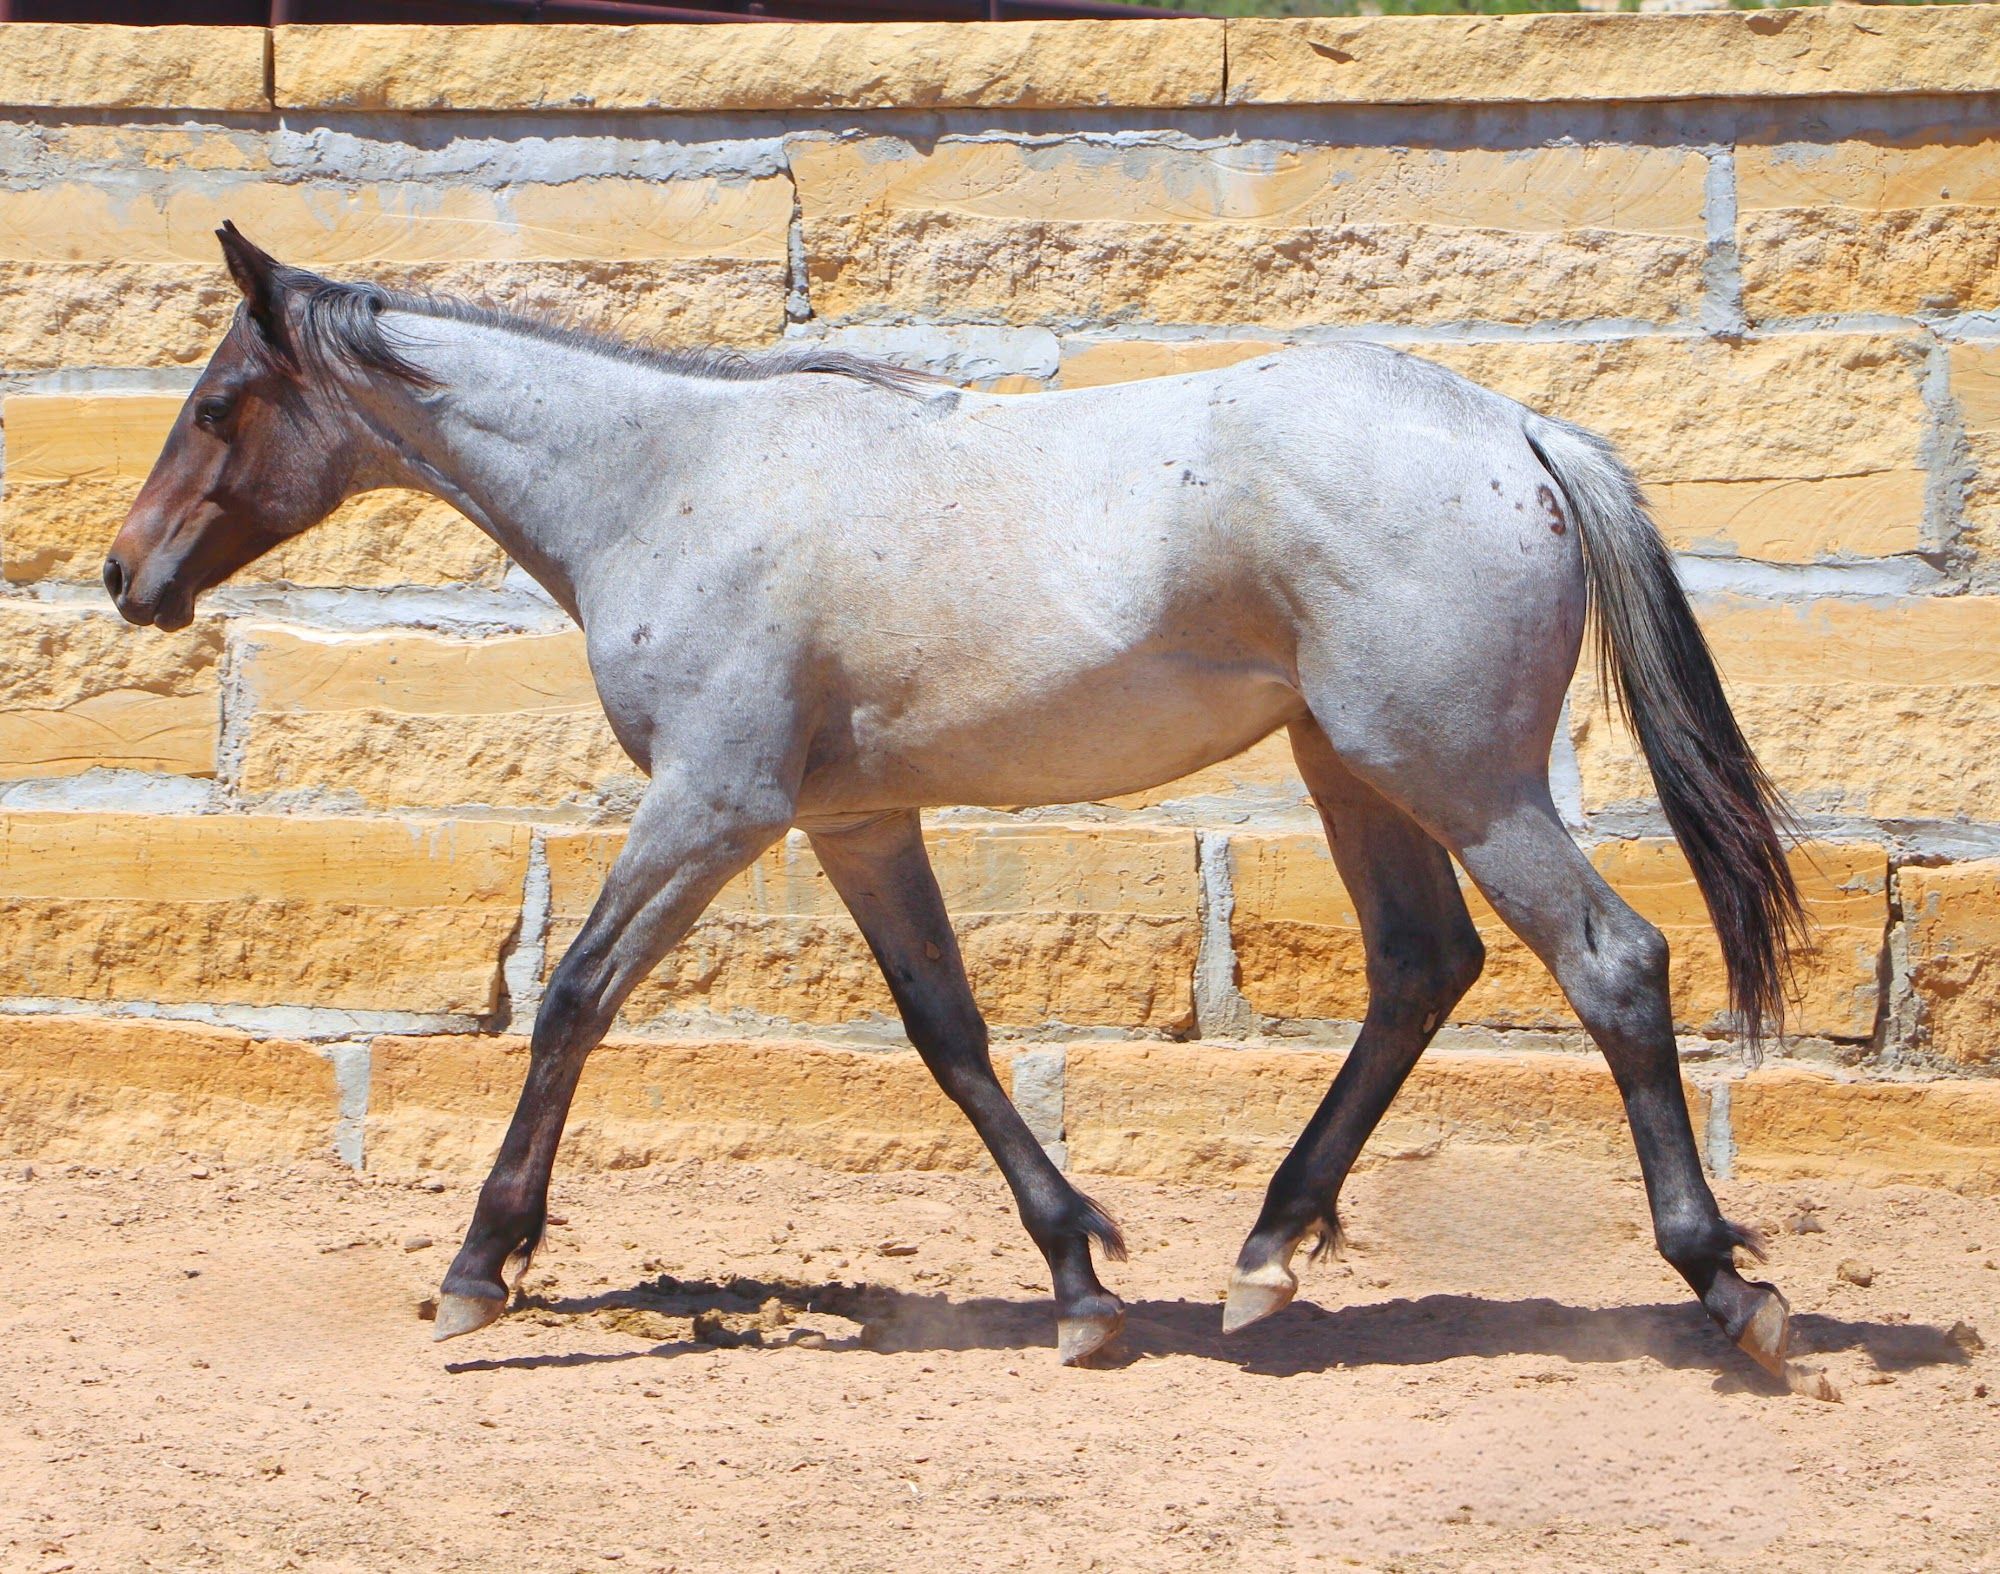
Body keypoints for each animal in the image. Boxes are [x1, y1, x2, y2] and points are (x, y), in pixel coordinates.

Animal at [105, 223, 1826, 1395]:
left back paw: (1727, 1289)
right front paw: (1082, 1279)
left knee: (1609, 962)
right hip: (1358, 769)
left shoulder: (716, 800)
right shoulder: (853, 823)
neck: (668, 481)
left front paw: (476, 1267)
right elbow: (949, 1032)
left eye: (217, 403)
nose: (126, 574)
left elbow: (577, 994)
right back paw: (1265, 1256)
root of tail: (1519, 431)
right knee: (1422, 966)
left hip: (1457, 774)